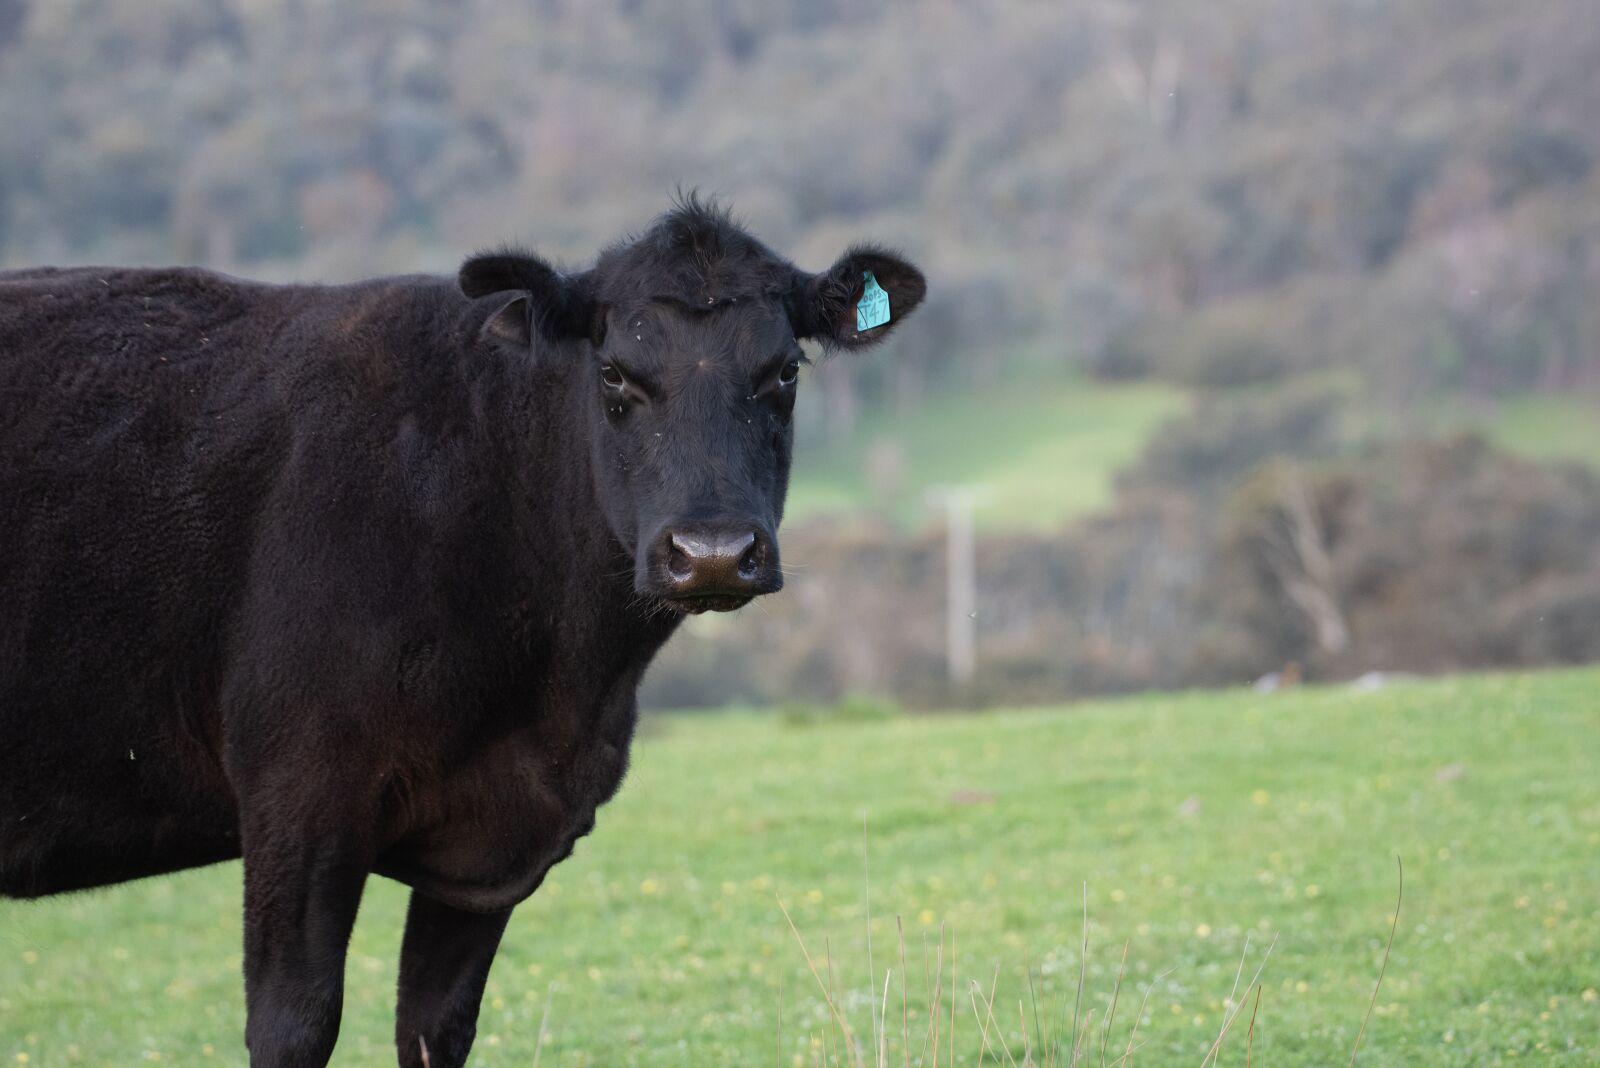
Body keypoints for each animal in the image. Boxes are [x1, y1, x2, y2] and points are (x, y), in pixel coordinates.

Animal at [0, 196, 925, 1067]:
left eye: (785, 372)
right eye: (615, 376)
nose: (713, 552)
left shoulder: (487, 844)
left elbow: (434, 1028)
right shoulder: (298, 793)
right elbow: (294, 1026)